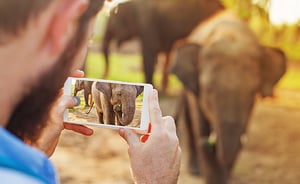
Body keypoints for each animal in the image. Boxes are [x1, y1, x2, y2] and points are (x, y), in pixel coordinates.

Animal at [171, 9, 286, 184]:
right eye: (208, 90)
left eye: (253, 92)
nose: (207, 144)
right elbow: (200, 124)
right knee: (190, 124)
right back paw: (195, 169)